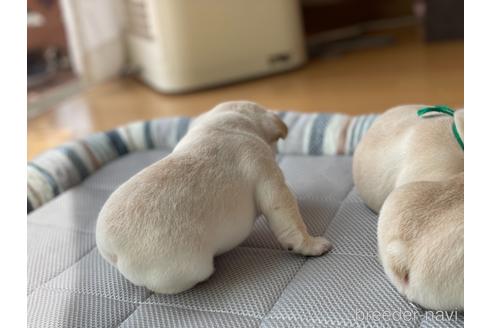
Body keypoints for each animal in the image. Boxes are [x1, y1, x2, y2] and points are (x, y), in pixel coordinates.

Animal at [95, 101, 334, 294]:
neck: (224, 124)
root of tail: (111, 249)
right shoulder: (268, 174)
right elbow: (289, 219)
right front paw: (311, 244)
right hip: (188, 267)